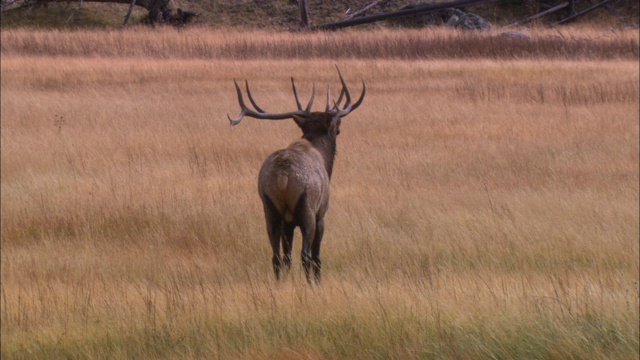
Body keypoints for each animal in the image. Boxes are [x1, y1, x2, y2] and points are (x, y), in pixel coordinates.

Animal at [228, 66, 364, 282]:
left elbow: (286, 256)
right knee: (305, 255)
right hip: (306, 207)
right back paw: (310, 284)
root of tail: (283, 178)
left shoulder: (288, 222)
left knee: (277, 257)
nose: (339, 127)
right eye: (337, 127)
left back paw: (279, 283)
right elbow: (317, 257)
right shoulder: (321, 212)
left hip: (270, 209)